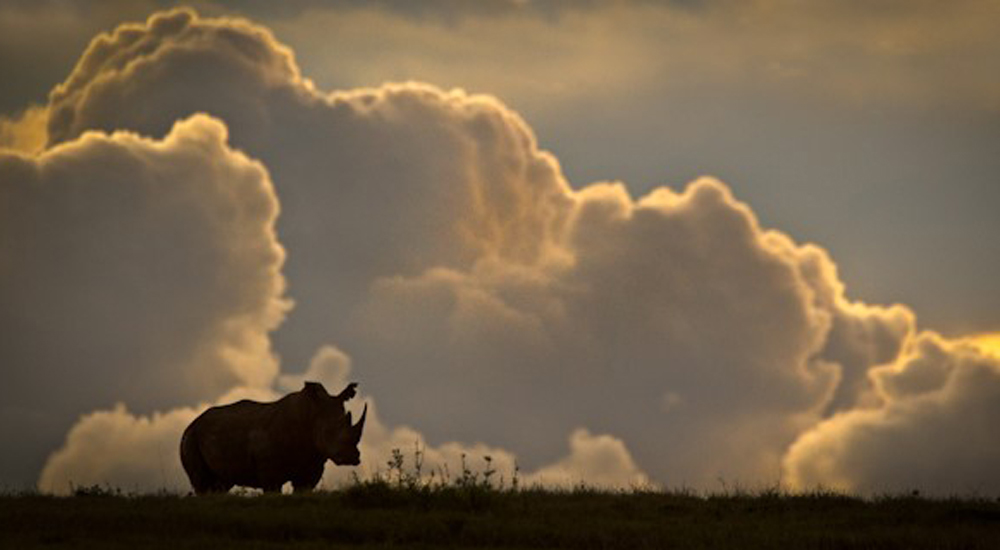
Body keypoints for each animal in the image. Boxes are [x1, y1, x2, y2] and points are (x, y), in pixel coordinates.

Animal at [180, 381, 366, 494]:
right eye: (328, 433)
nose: (351, 458)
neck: (311, 414)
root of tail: (193, 422)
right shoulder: (269, 470)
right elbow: (272, 489)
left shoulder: (312, 464)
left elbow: (303, 488)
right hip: (190, 436)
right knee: (202, 482)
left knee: (220, 485)